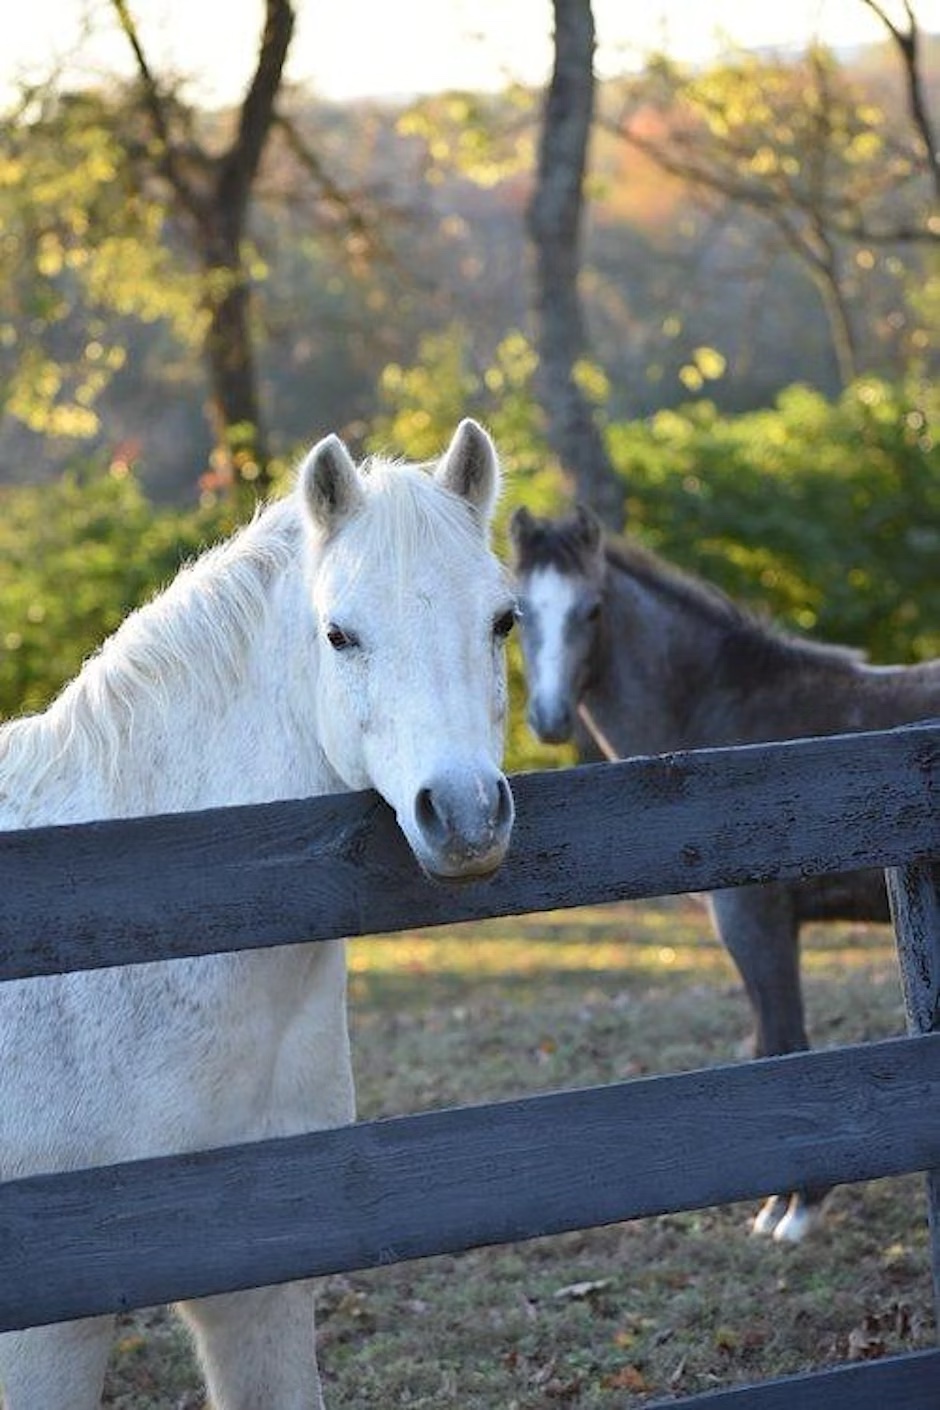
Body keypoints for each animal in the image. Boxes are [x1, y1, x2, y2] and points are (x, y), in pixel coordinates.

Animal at [509, 501, 940, 1244]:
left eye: (592, 610)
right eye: (519, 613)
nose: (549, 719)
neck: (718, 715)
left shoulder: (754, 921)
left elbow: (784, 1047)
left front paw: (795, 1211)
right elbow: (771, 1043)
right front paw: (781, 1204)